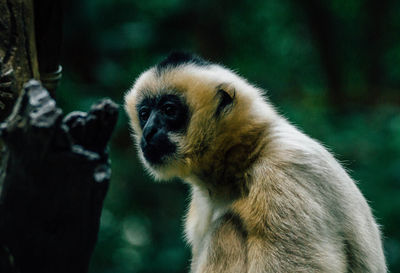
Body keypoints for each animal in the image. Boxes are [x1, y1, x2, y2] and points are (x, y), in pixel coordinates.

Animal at [125, 52, 388, 270]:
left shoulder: (283, 174)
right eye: (144, 114)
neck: (246, 154)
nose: (148, 131)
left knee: (226, 227)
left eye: (169, 110)